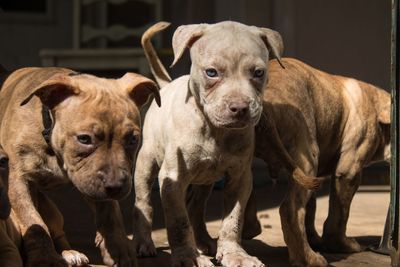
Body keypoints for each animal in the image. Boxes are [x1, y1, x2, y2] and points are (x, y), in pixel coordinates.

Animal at [0, 68, 159, 266]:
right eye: (84, 139)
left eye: (133, 139)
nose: (116, 186)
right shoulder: (17, 180)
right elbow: (33, 221)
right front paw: (45, 258)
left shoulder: (94, 184)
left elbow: (110, 215)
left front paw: (119, 251)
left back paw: (70, 252)